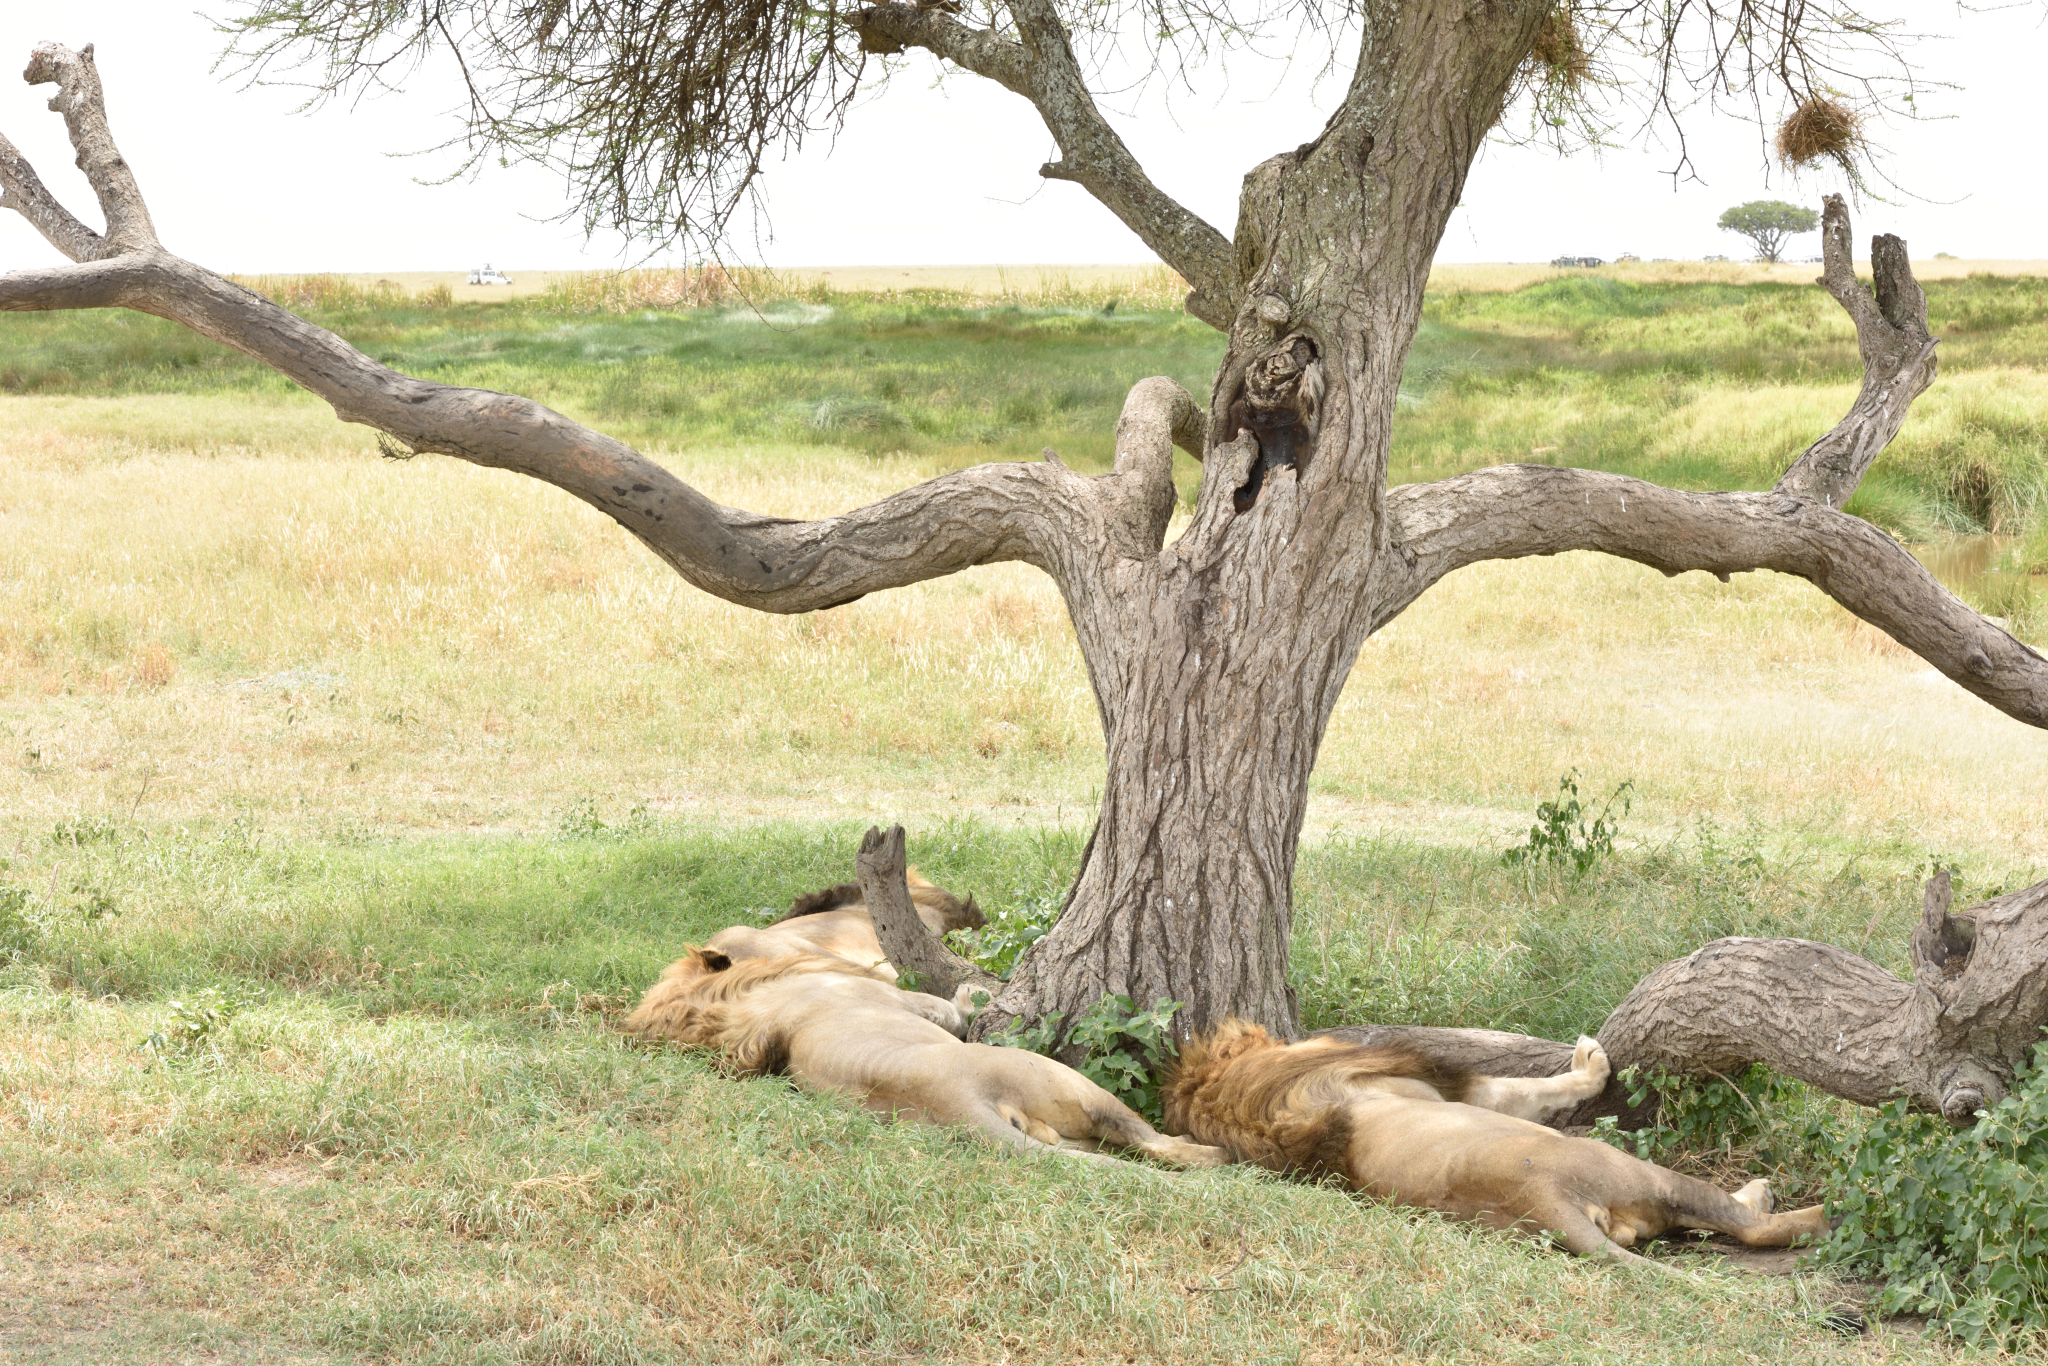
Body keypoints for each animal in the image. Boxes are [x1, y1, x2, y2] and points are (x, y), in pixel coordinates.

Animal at [622, 946, 1220, 1171]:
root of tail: (961, 1107)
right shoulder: (922, 1006)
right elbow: (956, 1005)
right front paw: (976, 990)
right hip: (1069, 1081)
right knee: (1159, 1146)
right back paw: (1213, 1153)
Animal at [1163, 1019, 1835, 1269]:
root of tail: (1548, 1205)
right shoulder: (1446, 1090)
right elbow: (1523, 1088)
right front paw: (1591, 1063)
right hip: (1637, 1171)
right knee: (1754, 1228)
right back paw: (1795, 1203)